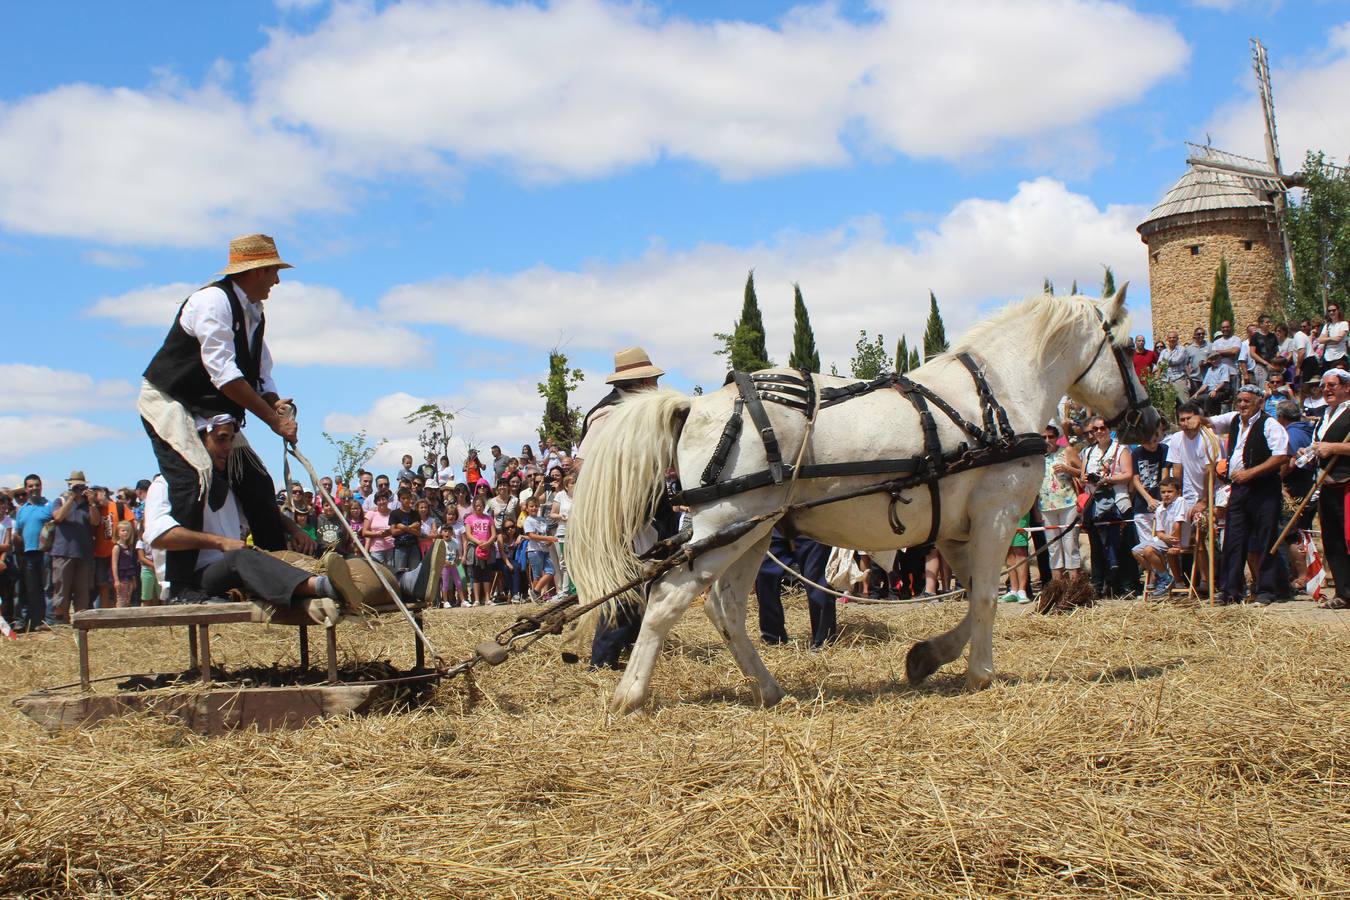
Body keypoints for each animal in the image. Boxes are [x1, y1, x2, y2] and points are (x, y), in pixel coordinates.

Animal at [569, 292, 1161, 712]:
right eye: (1129, 350)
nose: (1150, 419)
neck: (997, 393)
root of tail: (694, 406)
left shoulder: (955, 530)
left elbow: (972, 598)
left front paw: (926, 658)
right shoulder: (995, 516)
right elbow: (986, 600)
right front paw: (980, 674)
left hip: (753, 531)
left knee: (726, 606)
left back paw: (768, 688)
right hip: (727, 523)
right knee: (669, 598)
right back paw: (630, 695)